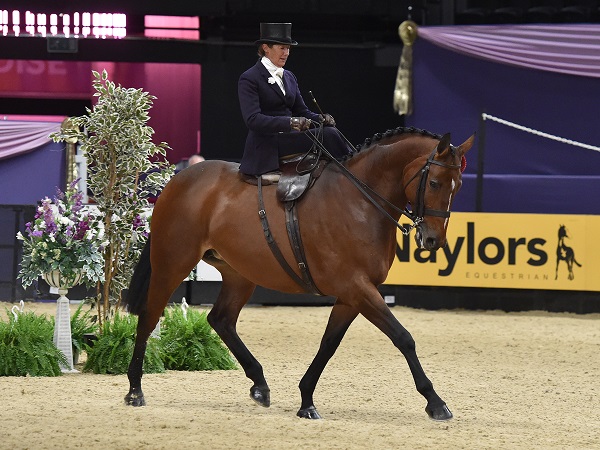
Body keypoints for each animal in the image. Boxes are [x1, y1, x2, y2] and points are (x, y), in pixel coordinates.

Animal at [122, 126, 474, 422]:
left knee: (220, 319)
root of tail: (179, 179)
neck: (360, 201)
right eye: (434, 183)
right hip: (173, 263)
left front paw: (306, 401)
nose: (433, 240)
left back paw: (260, 384)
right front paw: (435, 402)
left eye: (458, 186)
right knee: (150, 316)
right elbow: (403, 338)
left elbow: (328, 344)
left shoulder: (354, 294)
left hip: (239, 273)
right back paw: (135, 390)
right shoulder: (357, 288)